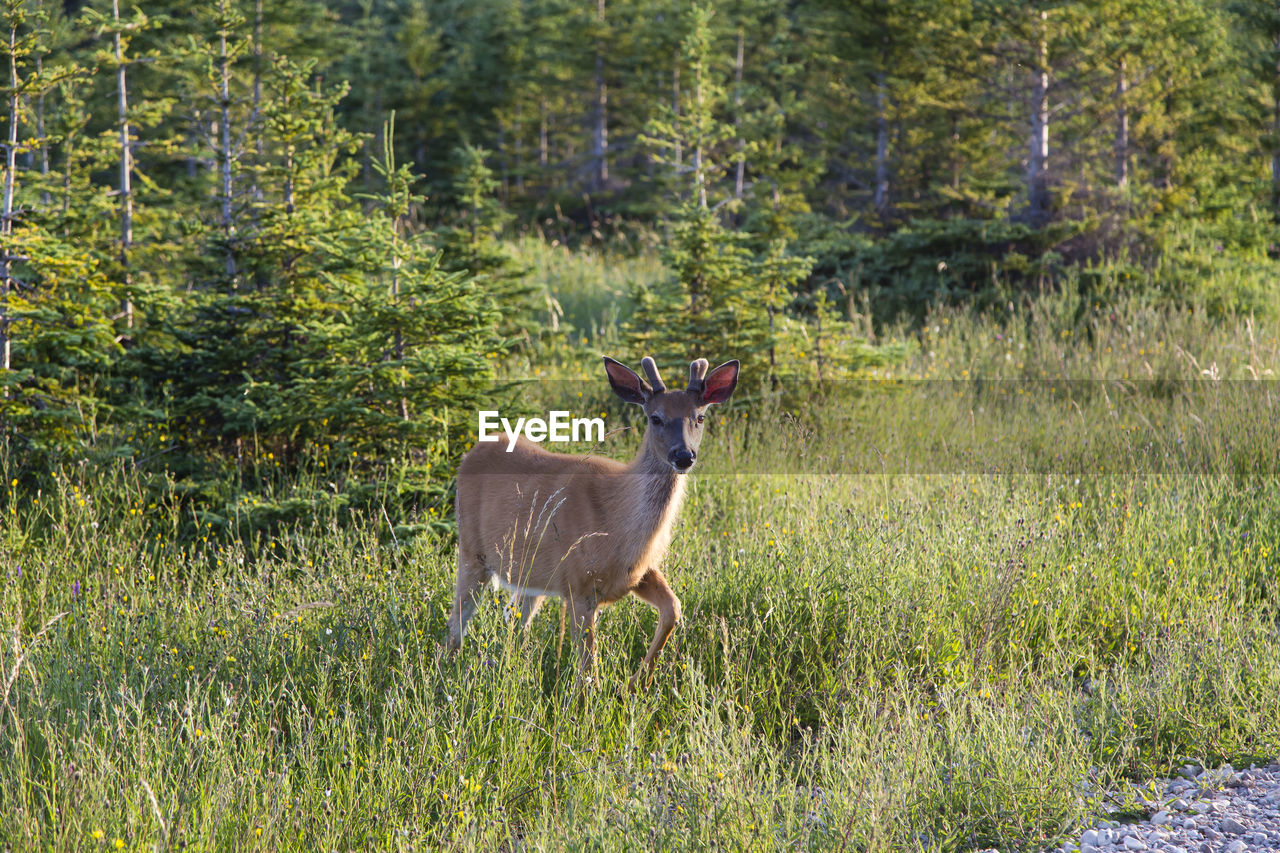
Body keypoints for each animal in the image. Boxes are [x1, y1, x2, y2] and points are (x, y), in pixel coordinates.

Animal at [448, 350, 742, 686]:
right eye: (655, 418)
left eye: (700, 417)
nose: (684, 456)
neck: (618, 522)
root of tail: (472, 451)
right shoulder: (578, 583)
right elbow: (588, 670)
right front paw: (596, 698)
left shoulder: (638, 572)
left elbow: (673, 609)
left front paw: (637, 682)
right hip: (472, 551)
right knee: (457, 621)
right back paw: (448, 669)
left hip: (531, 573)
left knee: (514, 618)